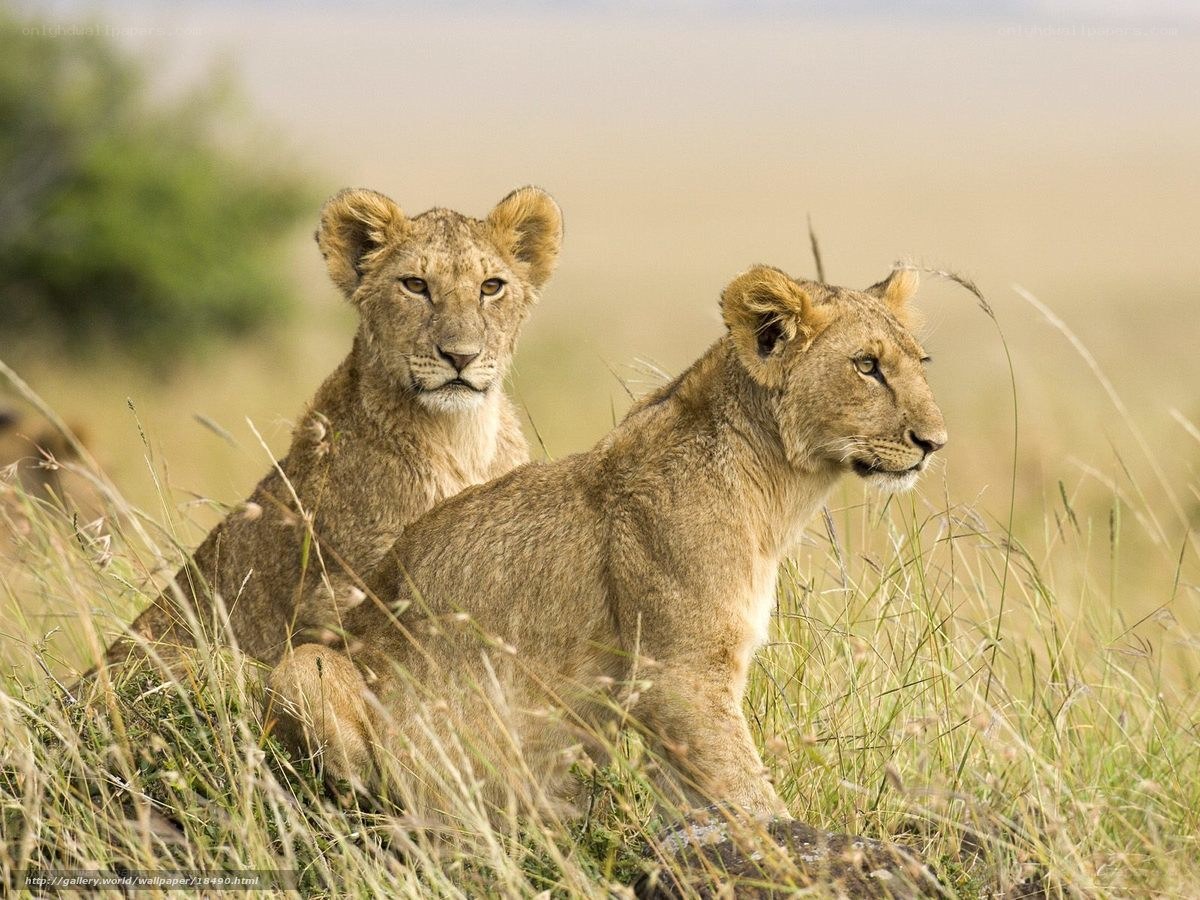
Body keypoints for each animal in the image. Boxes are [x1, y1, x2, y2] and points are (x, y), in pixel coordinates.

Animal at [266, 264, 947, 824]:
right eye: (867, 365)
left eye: (921, 362)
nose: (934, 442)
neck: (778, 493)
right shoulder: (678, 674)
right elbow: (750, 795)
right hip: (306, 666)